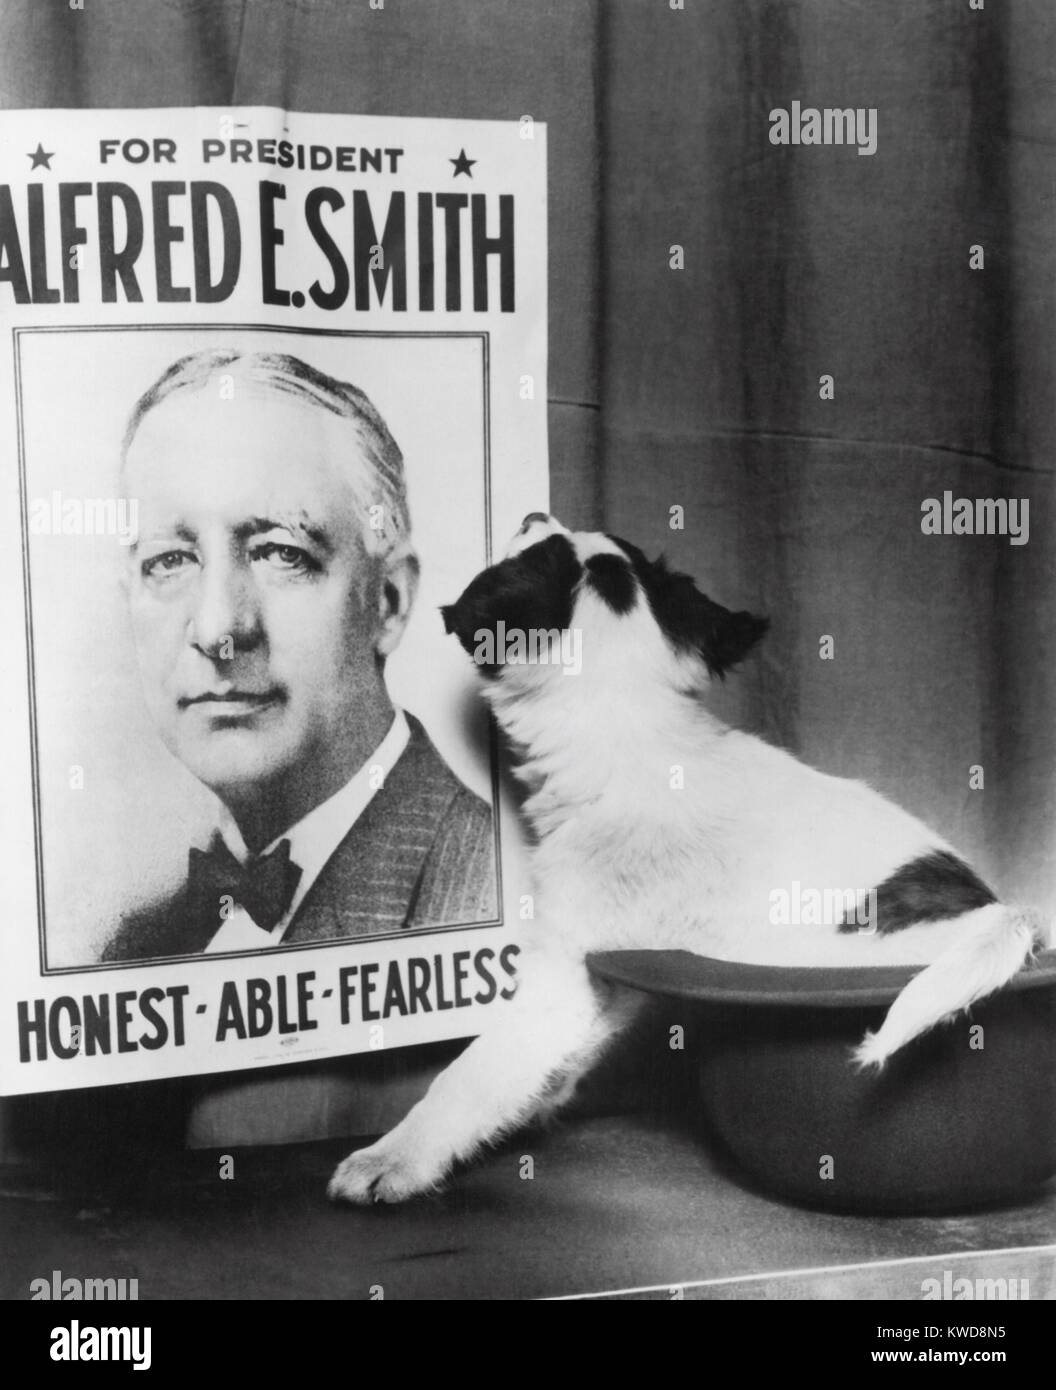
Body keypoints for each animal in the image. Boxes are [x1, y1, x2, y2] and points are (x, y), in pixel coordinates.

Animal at [330, 517, 1050, 1200]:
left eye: (541, 546)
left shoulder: (565, 969)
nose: (535, 511)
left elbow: (473, 1070)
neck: (636, 734)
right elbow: (541, 1063)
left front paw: (390, 1159)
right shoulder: (611, 975)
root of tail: (1012, 922)